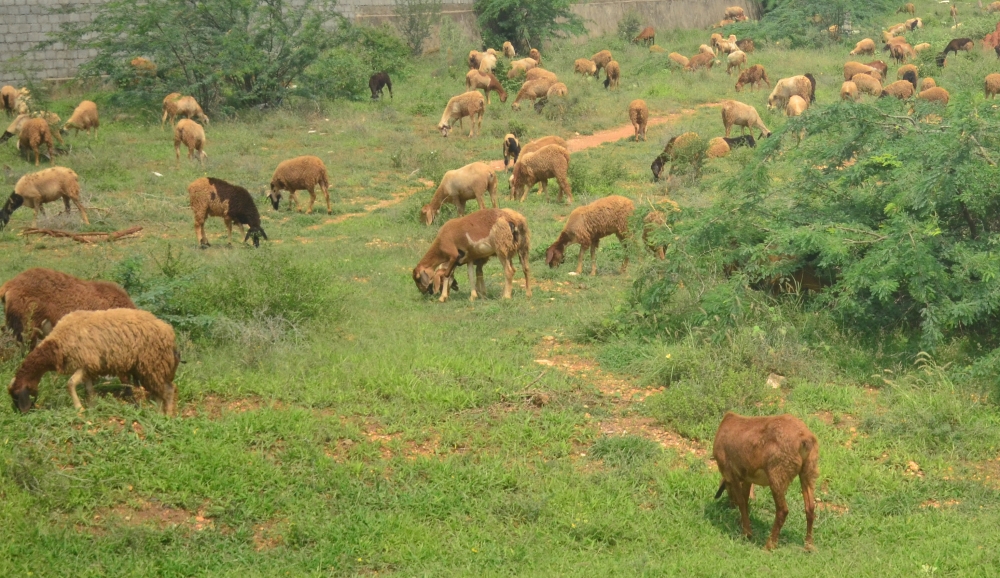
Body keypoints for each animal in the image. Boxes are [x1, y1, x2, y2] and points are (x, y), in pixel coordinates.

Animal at [7, 308, 180, 415]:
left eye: (16, 395)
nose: (23, 412)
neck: (57, 343)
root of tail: (169, 331)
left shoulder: (84, 362)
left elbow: (70, 383)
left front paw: (79, 408)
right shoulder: (88, 367)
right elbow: (89, 389)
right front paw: (91, 407)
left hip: (153, 364)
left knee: (169, 389)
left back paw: (166, 416)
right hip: (148, 367)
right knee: (159, 391)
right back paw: (157, 413)